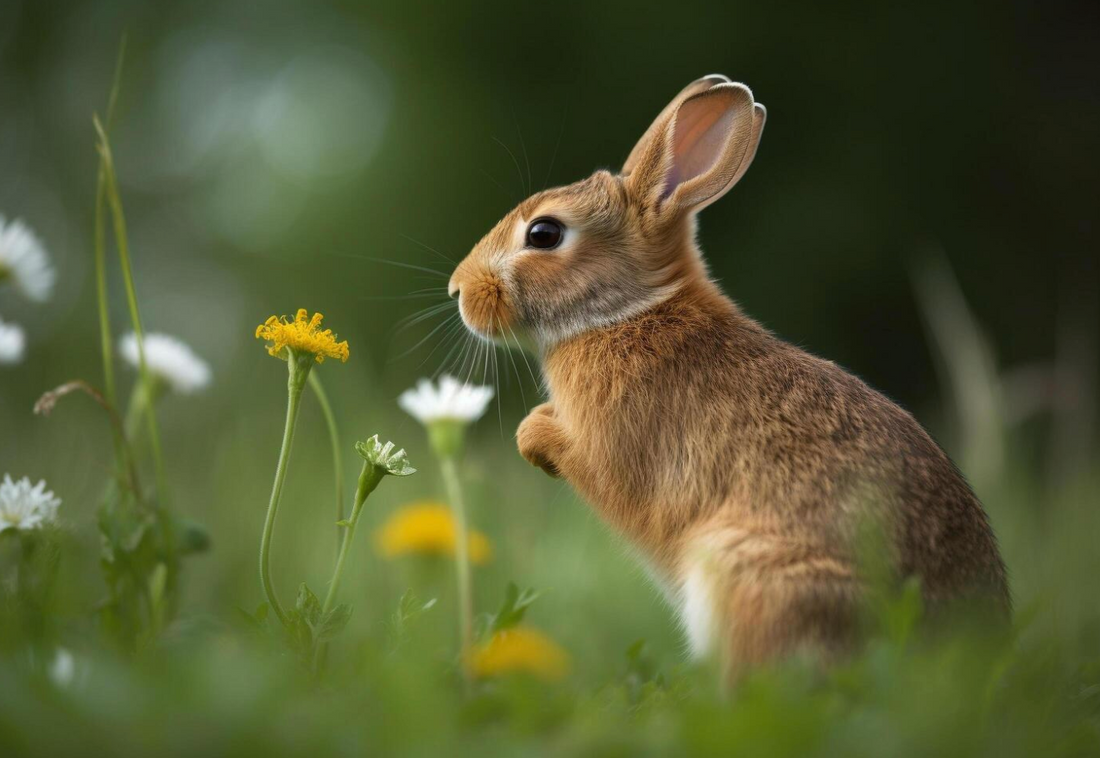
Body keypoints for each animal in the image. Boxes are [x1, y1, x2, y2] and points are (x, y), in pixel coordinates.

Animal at [447, 75, 1010, 676]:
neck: (628, 313)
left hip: (745, 576)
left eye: (544, 234)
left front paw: (531, 433)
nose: (458, 290)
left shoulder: (615, 449)